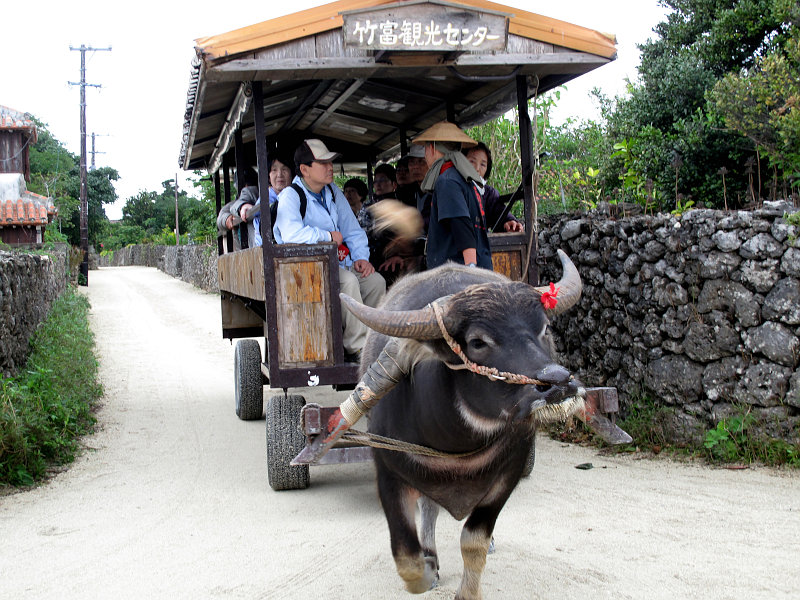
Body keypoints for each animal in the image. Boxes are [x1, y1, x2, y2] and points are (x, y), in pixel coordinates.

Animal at [342, 250, 580, 600]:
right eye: (478, 341)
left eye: (544, 328)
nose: (558, 382)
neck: (456, 437)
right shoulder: (388, 470)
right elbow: (407, 558)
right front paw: (427, 570)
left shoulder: (510, 470)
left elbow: (474, 540)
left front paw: (468, 590)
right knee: (428, 507)